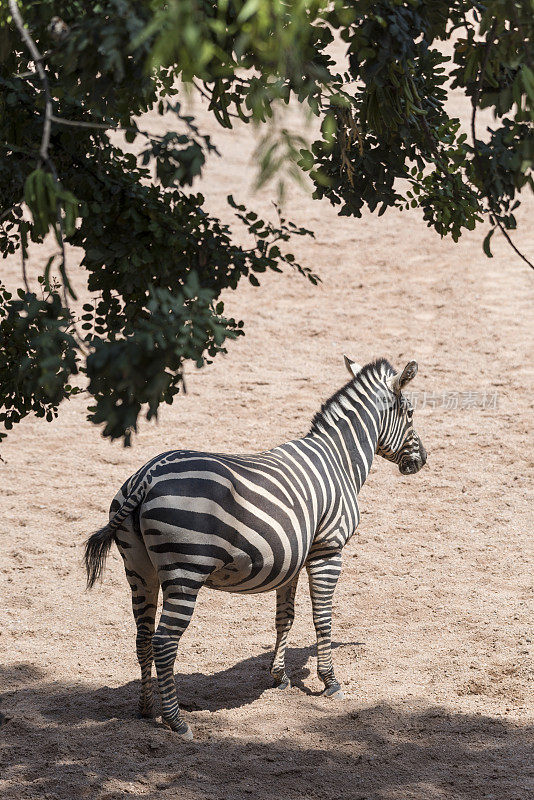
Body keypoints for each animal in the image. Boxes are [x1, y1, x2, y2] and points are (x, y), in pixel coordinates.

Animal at [85, 356, 428, 736]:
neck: (339, 460)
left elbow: (285, 617)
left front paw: (280, 678)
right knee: (164, 642)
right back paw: (176, 721)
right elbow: (322, 617)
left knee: (143, 636)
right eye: (410, 413)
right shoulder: (328, 550)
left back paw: (146, 709)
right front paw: (330, 681)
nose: (422, 460)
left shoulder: (294, 557)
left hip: (139, 569)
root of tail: (147, 475)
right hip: (184, 573)